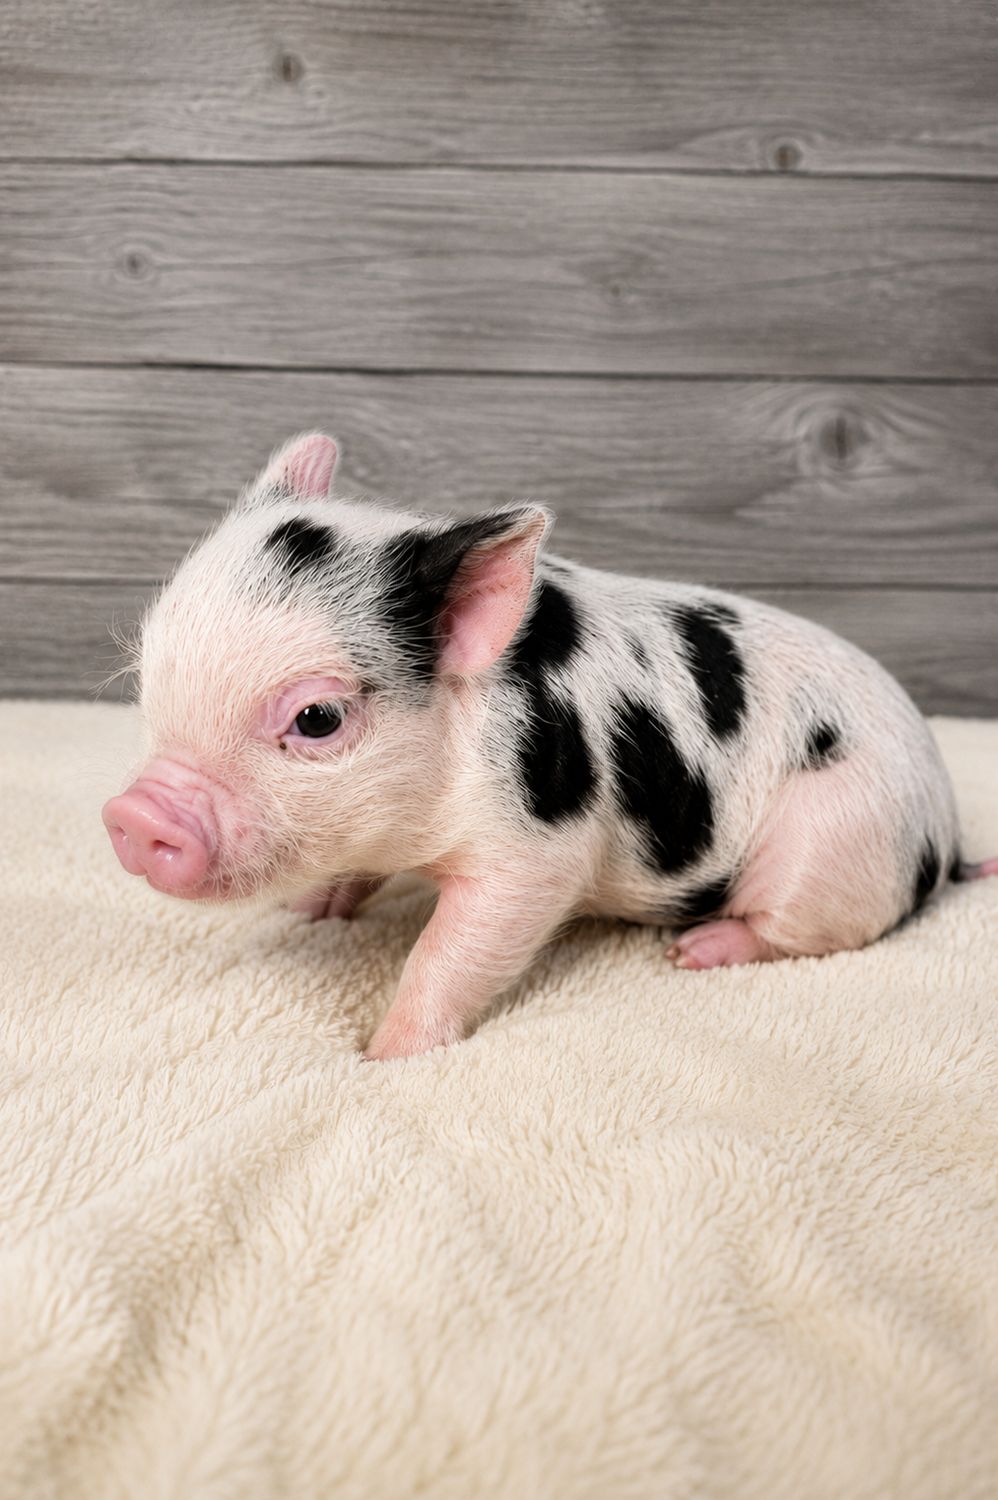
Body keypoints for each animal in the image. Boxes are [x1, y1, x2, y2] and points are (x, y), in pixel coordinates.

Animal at [102, 433, 997, 1060]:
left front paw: (384, 1055)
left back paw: (697, 950)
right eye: (147, 672)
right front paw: (308, 912)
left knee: (804, 929)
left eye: (317, 718)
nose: (136, 815)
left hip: (834, 841)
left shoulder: (537, 851)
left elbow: (454, 949)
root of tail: (943, 825)